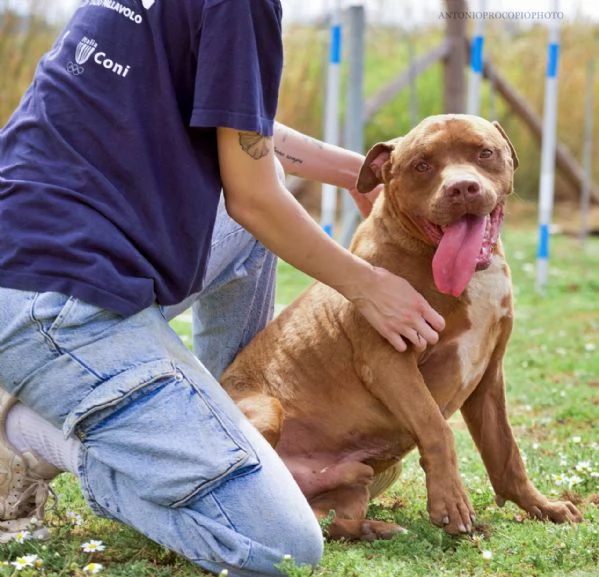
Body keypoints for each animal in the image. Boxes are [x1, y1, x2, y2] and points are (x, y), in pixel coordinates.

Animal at [220, 116, 580, 540]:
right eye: (422, 165)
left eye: (484, 152)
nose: (462, 188)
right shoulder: (390, 362)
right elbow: (436, 427)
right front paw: (451, 502)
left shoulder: (489, 378)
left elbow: (506, 452)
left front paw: (543, 507)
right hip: (267, 408)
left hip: (357, 481)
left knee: (336, 522)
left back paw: (377, 528)